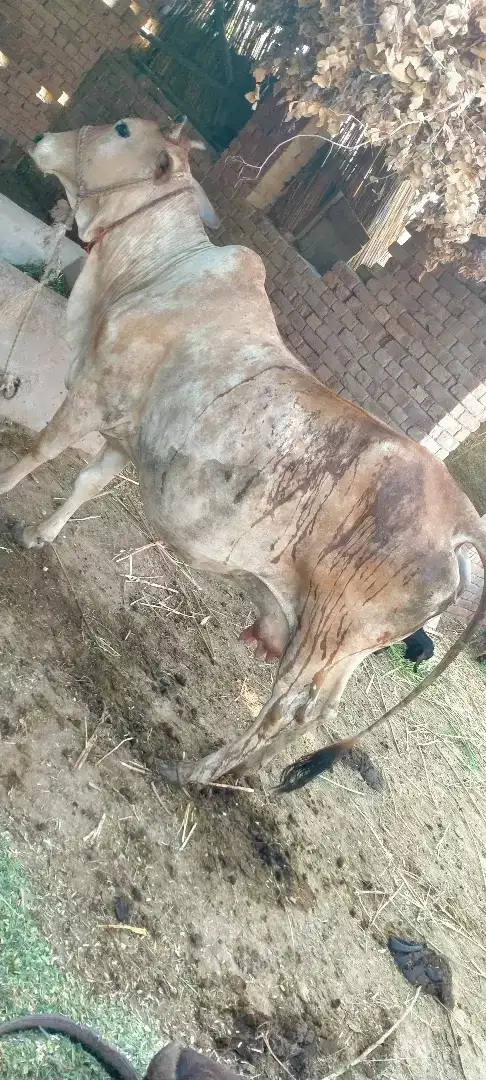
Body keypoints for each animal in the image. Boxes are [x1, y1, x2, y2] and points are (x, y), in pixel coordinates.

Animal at [0, 118, 485, 795]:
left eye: (122, 129)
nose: (45, 138)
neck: (146, 272)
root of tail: (461, 525)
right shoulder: (126, 431)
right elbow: (86, 484)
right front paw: (39, 535)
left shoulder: (91, 393)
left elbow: (41, 451)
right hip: (344, 652)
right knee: (318, 715)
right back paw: (254, 774)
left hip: (324, 634)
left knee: (285, 710)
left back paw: (197, 770)